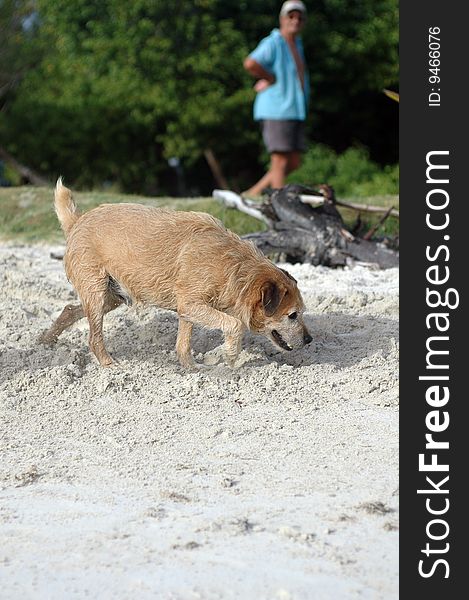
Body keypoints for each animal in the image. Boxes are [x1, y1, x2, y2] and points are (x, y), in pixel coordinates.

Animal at [40, 176, 310, 368]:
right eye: (292, 315)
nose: (310, 340)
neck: (234, 268)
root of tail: (77, 221)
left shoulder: (188, 310)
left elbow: (183, 345)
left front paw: (192, 369)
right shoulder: (192, 304)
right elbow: (234, 324)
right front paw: (231, 358)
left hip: (112, 296)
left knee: (70, 309)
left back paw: (45, 342)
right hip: (97, 293)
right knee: (94, 338)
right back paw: (109, 365)